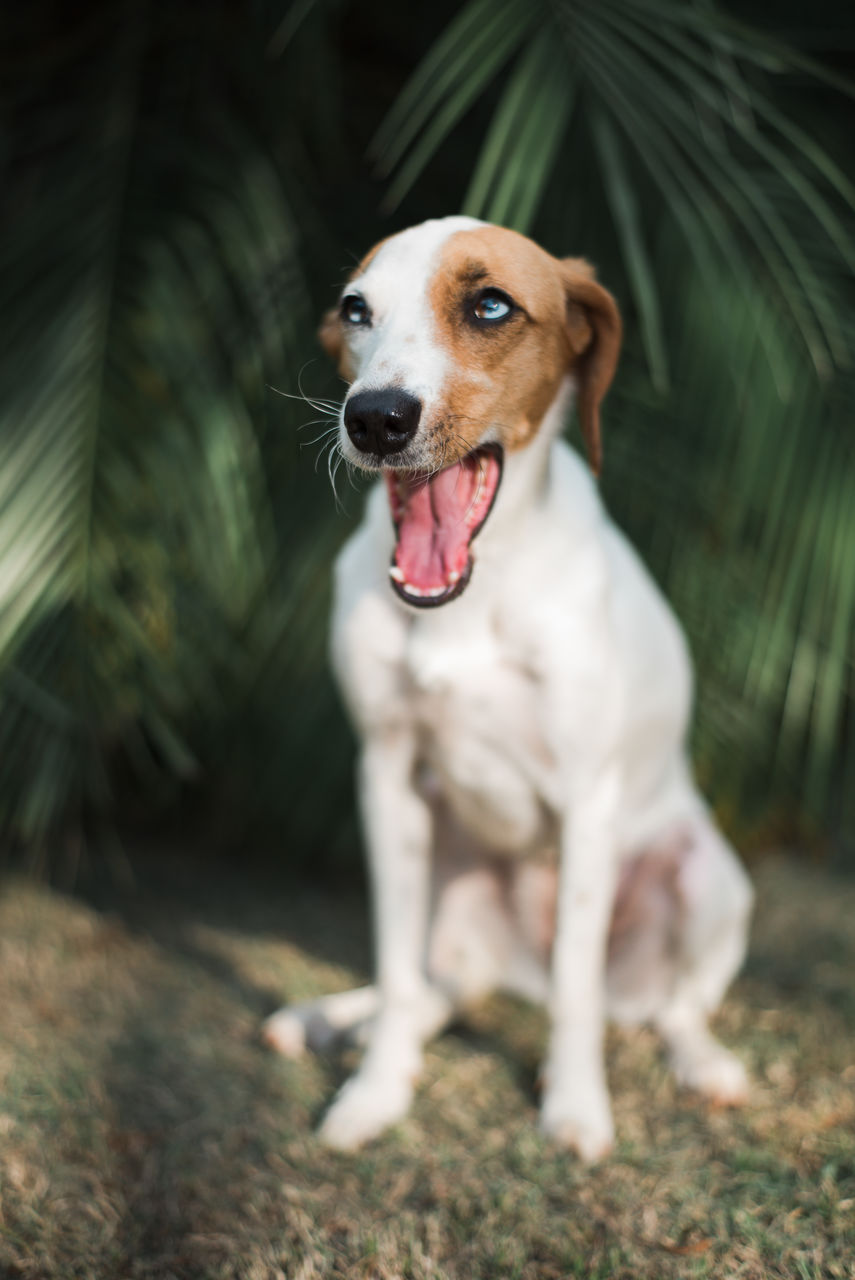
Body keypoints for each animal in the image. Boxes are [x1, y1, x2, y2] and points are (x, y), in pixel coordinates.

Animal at [263, 217, 752, 1162]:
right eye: (356, 309)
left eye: (490, 306)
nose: (374, 417)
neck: (471, 600)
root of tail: (511, 970)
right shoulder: (385, 780)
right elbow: (392, 969)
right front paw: (374, 1092)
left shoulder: (589, 801)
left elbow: (577, 992)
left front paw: (574, 1109)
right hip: (448, 886)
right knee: (430, 988)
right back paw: (333, 1018)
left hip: (709, 879)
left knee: (664, 1008)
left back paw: (702, 1062)